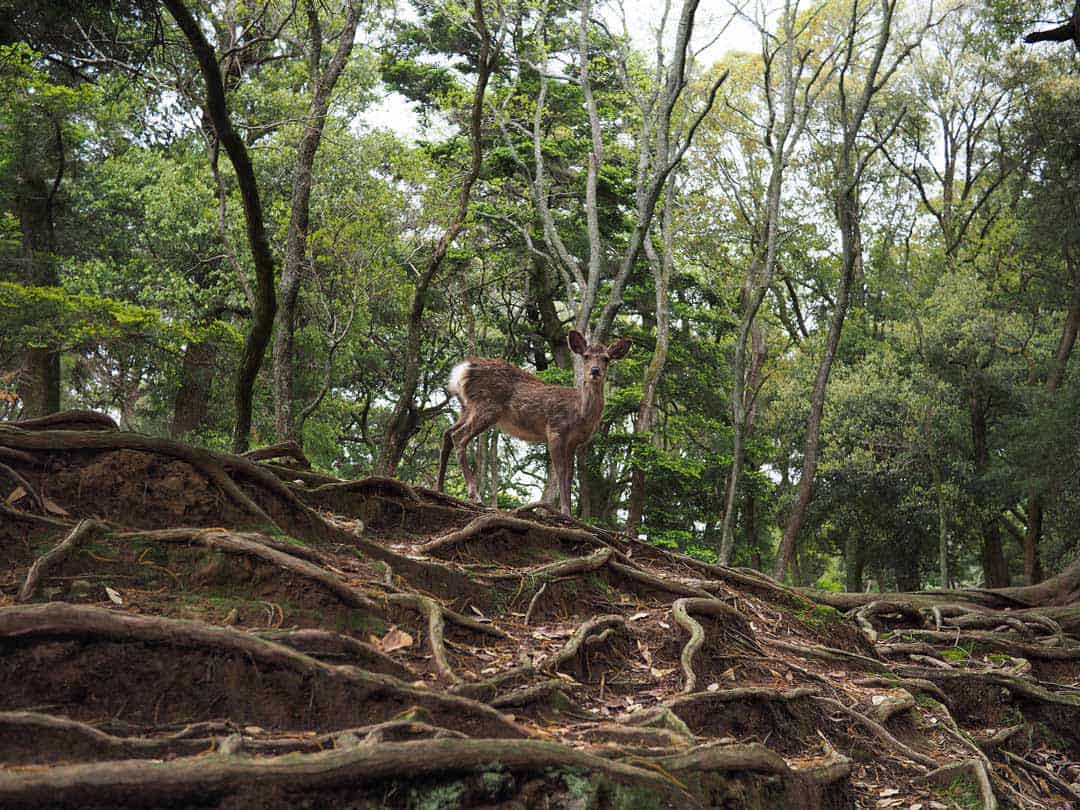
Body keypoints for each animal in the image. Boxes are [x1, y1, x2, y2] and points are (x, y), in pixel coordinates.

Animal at [437, 330, 632, 514]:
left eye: (606, 358)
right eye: (586, 356)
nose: (595, 371)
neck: (579, 412)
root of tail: (462, 369)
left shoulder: (574, 442)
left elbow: (570, 475)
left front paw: (568, 511)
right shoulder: (555, 430)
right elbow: (561, 472)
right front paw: (564, 511)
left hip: (467, 407)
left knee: (447, 433)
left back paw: (440, 489)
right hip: (487, 406)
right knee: (458, 436)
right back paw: (475, 496)